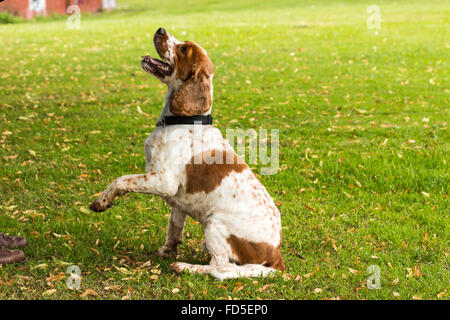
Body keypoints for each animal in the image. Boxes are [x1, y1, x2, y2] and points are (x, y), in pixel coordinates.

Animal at [89, 27, 284, 280]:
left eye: (183, 49)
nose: (160, 29)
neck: (181, 120)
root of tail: (276, 256)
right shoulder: (178, 201)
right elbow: (173, 228)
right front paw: (165, 252)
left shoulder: (163, 181)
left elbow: (121, 180)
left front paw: (101, 202)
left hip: (214, 223)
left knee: (221, 267)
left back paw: (185, 267)